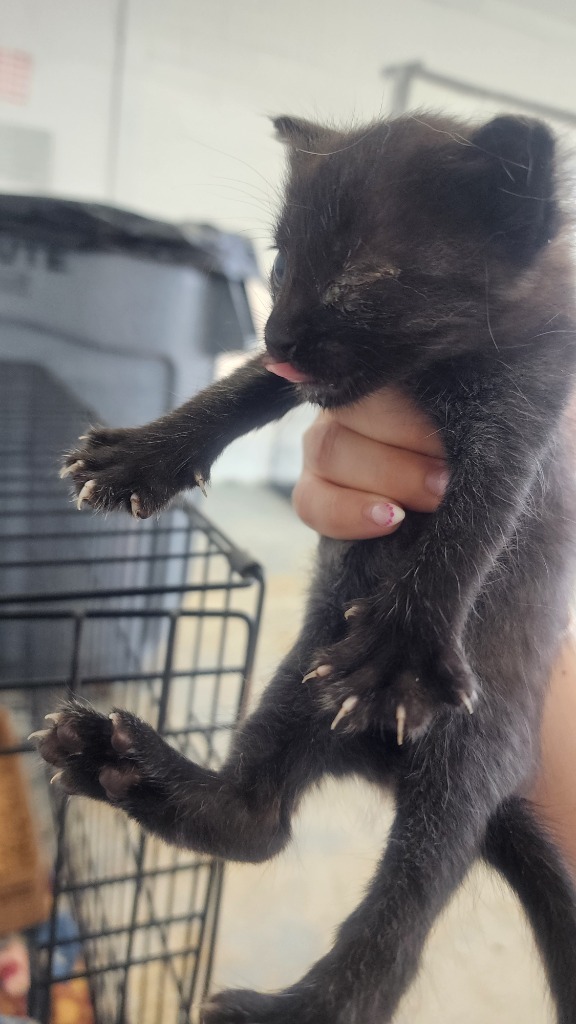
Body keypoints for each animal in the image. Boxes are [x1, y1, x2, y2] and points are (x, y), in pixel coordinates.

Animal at [34, 114, 573, 1024]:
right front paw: (140, 456)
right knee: (257, 822)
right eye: (281, 263)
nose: (274, 332)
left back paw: (292, 1009)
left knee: (389, 949)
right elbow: (245, 390)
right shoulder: (312, 377)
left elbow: (478, 516)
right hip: (305, 669)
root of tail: (378, 756)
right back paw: (119, 760)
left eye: (363, 274)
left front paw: (400, 652)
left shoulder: (527, 400)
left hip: (465, 761)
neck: (428, 374)